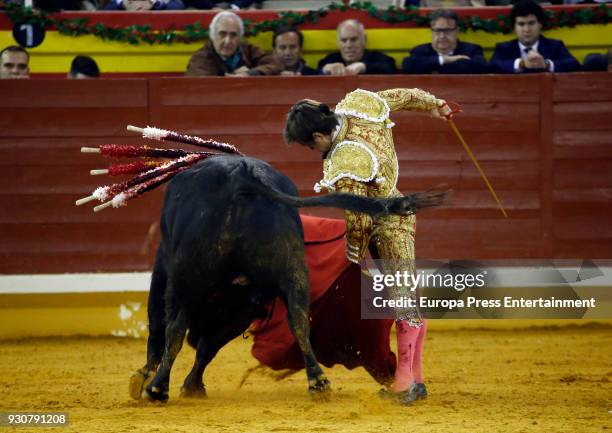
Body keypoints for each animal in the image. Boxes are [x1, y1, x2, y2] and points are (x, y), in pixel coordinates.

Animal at [130, 154, 444, 402]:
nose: (197, 336)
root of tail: (241, 178)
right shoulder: (244, 308)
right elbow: (210, 347)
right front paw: (193, 385)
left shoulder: (167, 273)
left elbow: (163, 328)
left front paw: (146, 377)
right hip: (292, 269)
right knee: (299, 320)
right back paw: (318, 382)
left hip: (186, 277)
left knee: (172, 328)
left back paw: (156, 388)